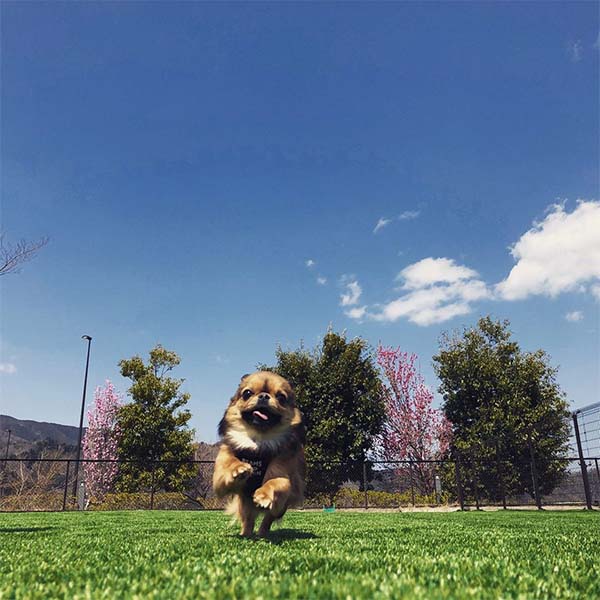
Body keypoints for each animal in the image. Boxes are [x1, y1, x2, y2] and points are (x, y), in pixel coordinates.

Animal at [212, 370, 304, 540]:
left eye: (281, 397)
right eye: (247, 393)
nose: (264, 396)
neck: (258, 441)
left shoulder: (283, 477)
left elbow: (274, 482)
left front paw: (263, 495)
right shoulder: (219, 481)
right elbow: (230, 464)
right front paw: (239, 469)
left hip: (278, 508)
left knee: (267, 519)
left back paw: (262, 533)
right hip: (245, 505)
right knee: (248, 521)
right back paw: (246, 534)